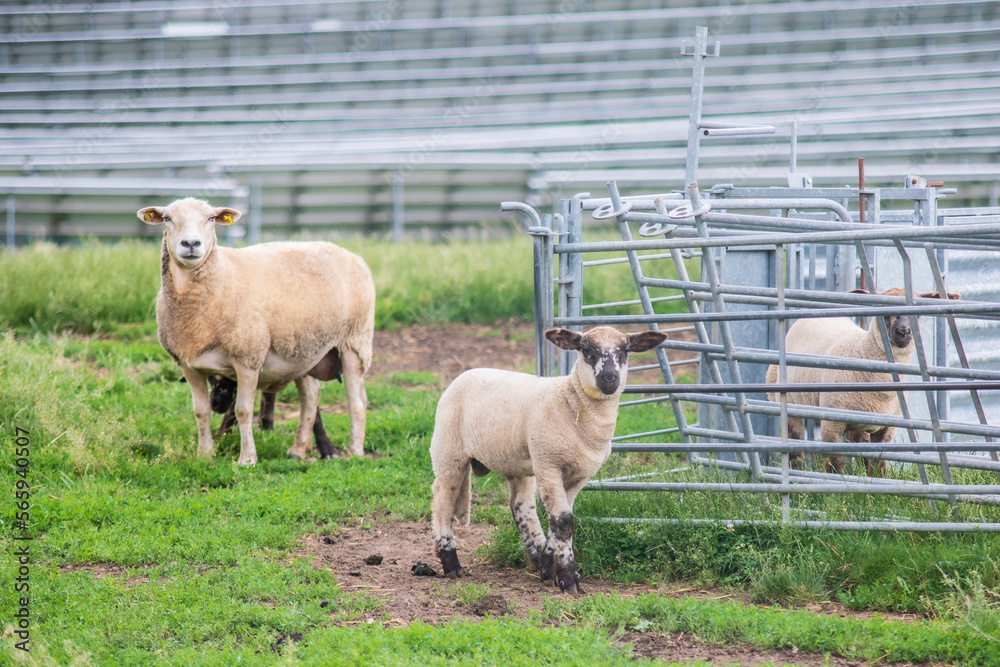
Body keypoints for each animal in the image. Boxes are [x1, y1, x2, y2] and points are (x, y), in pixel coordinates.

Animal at [138, 197, 375, 465]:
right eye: (167, 218)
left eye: (211, 218)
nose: (191, 244)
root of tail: (350, 254)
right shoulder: (189, 365)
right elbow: (200, 412)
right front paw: (204, 455)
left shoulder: (248, 359)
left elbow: (242, 410)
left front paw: (247, 459)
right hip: (304, 350)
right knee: (310, 398)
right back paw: (297, 450)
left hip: (355, 342)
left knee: (357, 402)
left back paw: (355, 452)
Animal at [430, 326, 667, 593]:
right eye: (586, 350)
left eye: (625, 351)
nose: (609, 378)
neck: (571, 403)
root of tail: (465, 373)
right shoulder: (549, 464)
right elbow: (564, 521)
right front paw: (568, 577)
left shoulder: (578, 474)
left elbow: (561, 520)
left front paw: (550, 567)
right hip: (449, 451)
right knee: (443, 502)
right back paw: (450, 563)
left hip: (518, 460)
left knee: (520, 505)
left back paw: (537, 554)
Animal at [765, 287, 959, 475]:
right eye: (882, 309)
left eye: (917, 312)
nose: (903, 332)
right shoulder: (832, 425)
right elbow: (835, 464)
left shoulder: (887, 428)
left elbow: (877, 464)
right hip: (789, 406)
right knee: (795, 451)